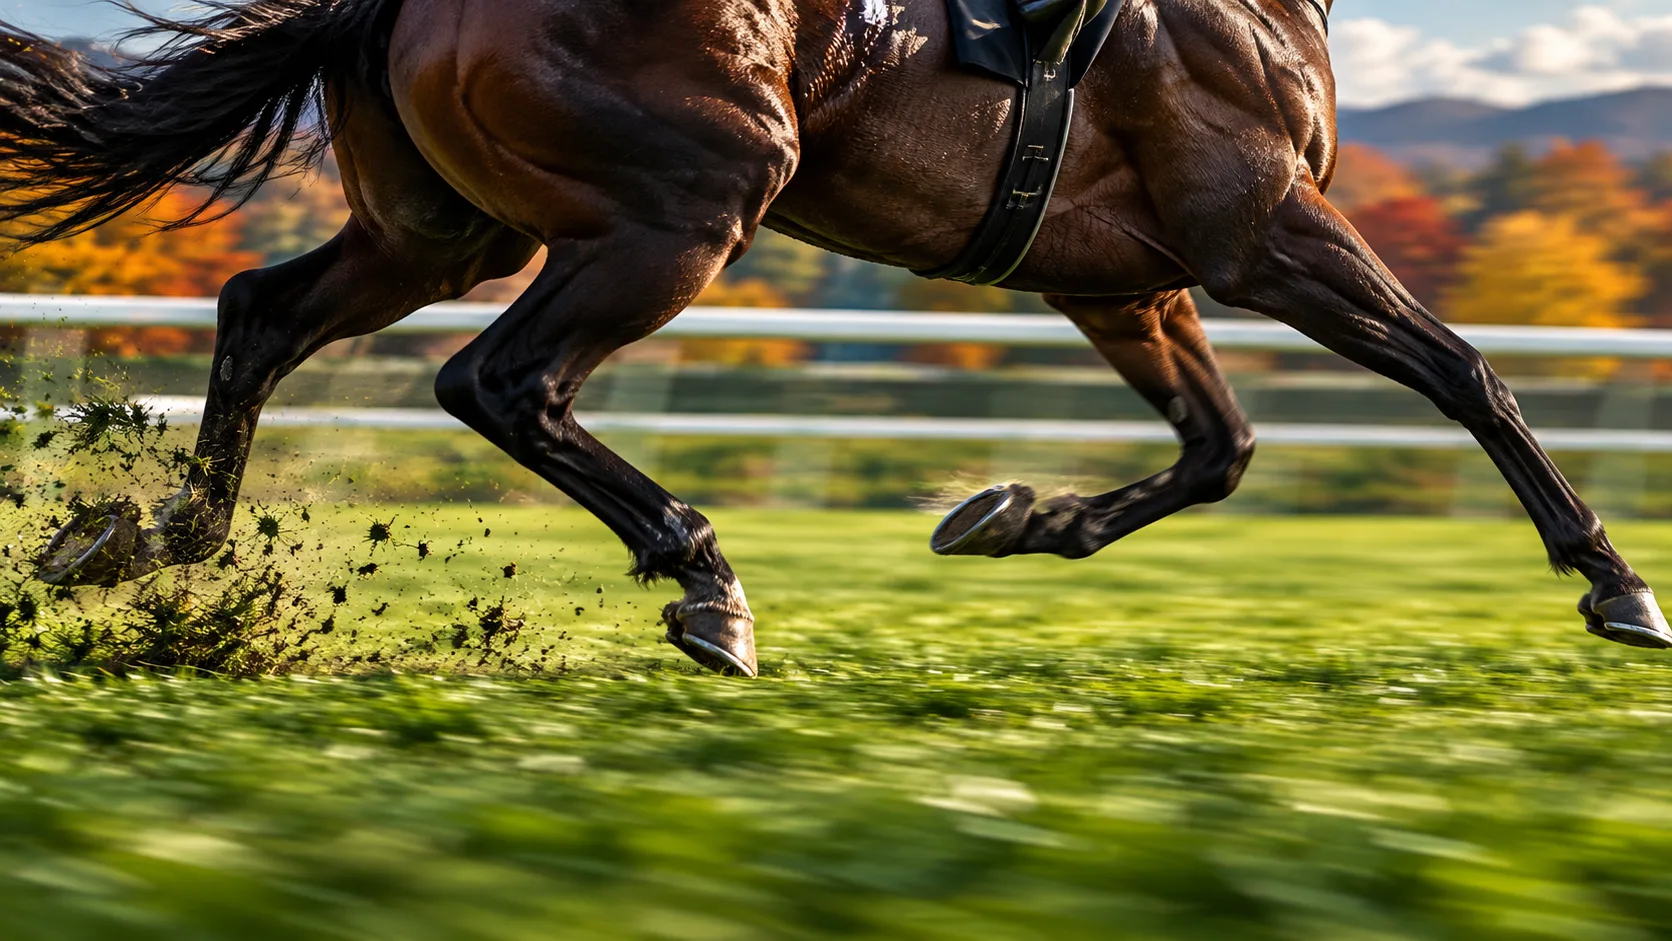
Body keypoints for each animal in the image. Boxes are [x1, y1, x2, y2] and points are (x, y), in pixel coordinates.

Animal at [3, 0, 1665, 678]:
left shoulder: (1124, 279)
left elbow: (1223, 446)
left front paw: (1017, 514)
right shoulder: (1258, 221)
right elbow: (1464, 371)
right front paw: (1617, 583)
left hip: (445, 224)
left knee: (264, 313)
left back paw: (148, 539)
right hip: (691, 203)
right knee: (502, 378)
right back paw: (708, 586)